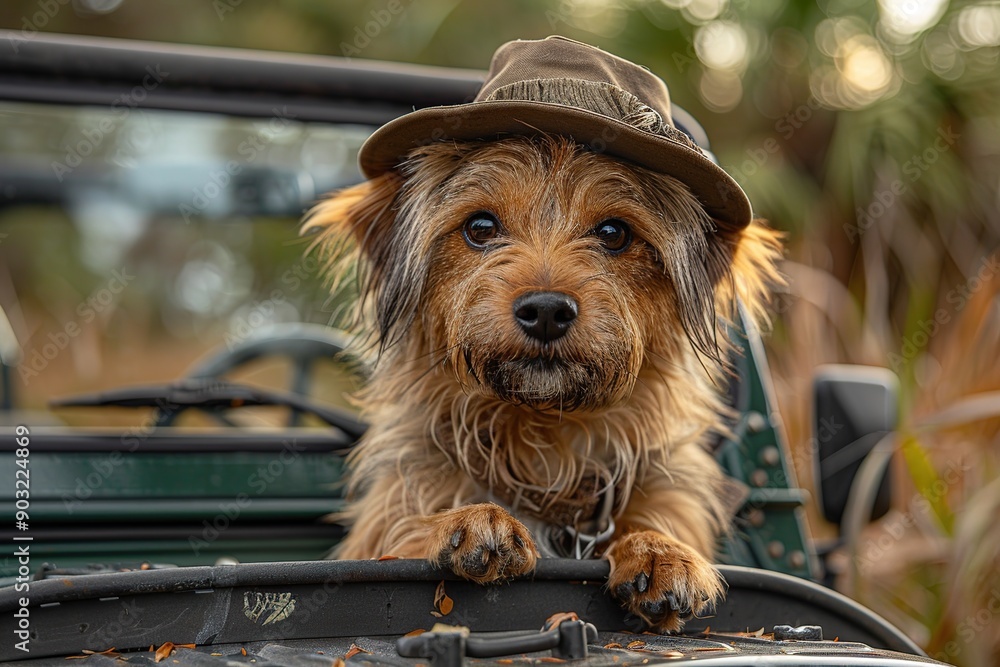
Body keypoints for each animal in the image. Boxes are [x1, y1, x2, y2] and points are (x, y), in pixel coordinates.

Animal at [300, 36, 784, 632]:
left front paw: (659, 550)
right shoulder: (385, 525)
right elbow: (401, 538)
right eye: (480, 227)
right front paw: (469, 519)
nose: (547, 310)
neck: (545, 445)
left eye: (614, 232)